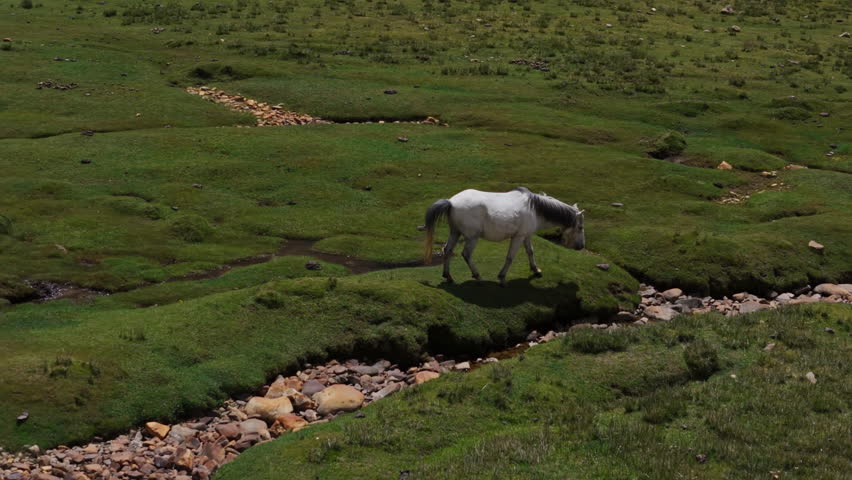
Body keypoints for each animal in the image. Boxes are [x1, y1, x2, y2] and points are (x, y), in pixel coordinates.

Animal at [423, 187, 585, 286]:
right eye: (580, 227)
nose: (581, 246)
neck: (535, 209)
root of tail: (451, 202)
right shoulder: (518, 237)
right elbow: (510, 257)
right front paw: (502, 278)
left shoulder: (525, 235)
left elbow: (530, 252)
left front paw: (536, 270)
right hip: (472, 237)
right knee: (466, 254)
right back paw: (478, 276)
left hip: (455, 232)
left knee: (447, 250)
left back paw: (448, 276)